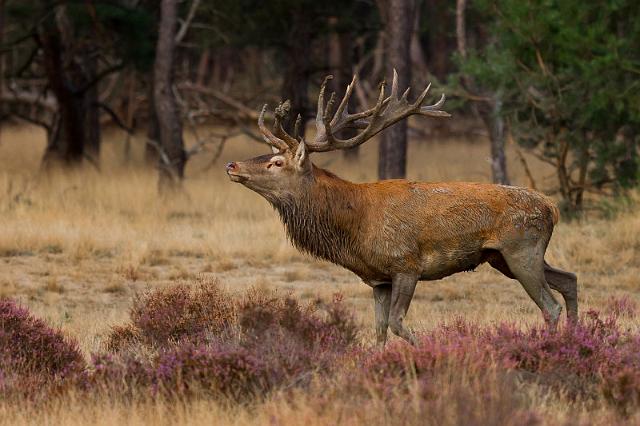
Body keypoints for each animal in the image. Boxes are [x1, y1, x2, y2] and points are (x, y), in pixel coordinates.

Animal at [226, 72, 580, 346]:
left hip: (521, 249)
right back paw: (576, 340)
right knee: (570, 280)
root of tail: (552, 208)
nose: (232, 165)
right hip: (503, 257)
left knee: (550, 305)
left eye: (276, 162)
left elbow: (397, 324)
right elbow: (380, 330)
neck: (354, 228)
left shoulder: (406, 265)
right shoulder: (378, 279)